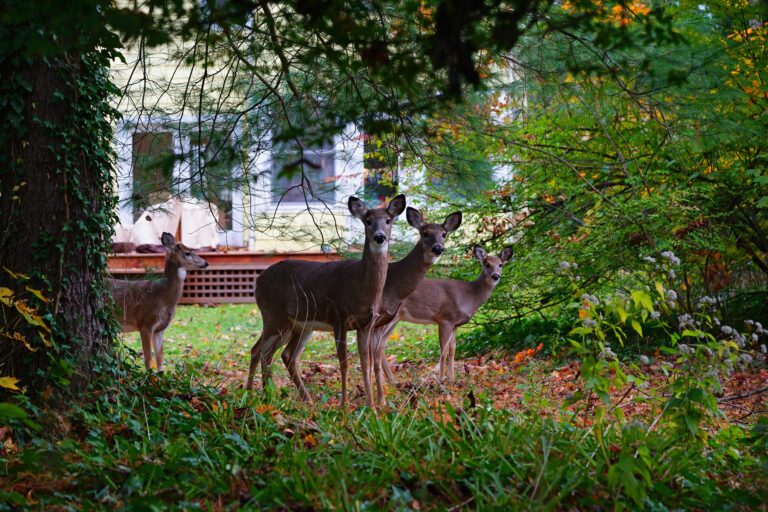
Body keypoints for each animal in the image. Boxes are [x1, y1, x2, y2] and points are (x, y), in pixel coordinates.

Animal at [109, 232, 210, 372]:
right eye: (188, 252)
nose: (206, 263)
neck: (162, 297)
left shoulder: (160, 328)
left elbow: (160, 356)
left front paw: (161, 375)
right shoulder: (144, 323)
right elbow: (148, 357)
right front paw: (149, 376)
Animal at [248, 194, 408, 406]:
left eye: (389, 220)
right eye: (368, 221)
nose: (380, 236)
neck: (361, 285)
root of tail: (258, 281)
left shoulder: (366, 324)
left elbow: (366, 363)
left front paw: (372, 406)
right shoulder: (339, 317)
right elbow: (344, 364)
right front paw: (344, 406)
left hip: (297, 326)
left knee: (282, 355)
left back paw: (289, 398)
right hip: (273, 315)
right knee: (257, 350)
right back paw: (249, 394)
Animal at [376, 245, 512, 384]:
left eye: (500, 264)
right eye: (487, 264)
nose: (495, 276)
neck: (469, 296)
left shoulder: (455, 324)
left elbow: (452, 350)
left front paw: (452, 378)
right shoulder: (445, 319)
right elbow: (443, 350)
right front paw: (441, 379)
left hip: (394, 318)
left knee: (381, 344)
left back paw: (391, 380)